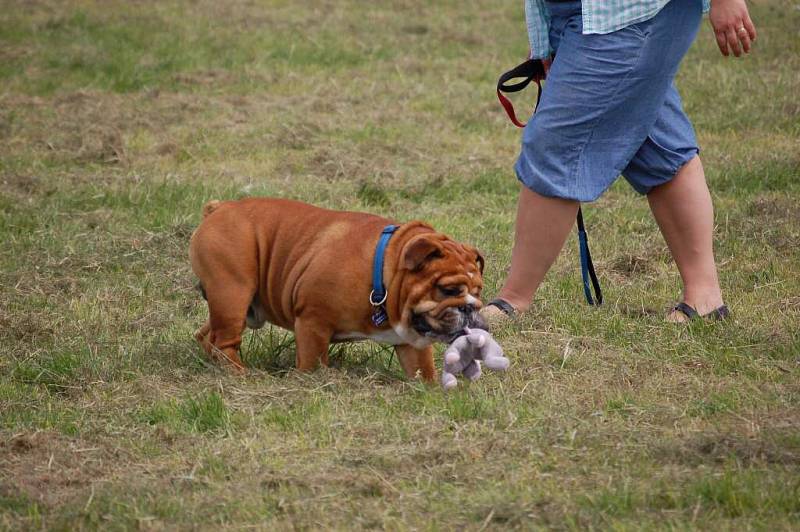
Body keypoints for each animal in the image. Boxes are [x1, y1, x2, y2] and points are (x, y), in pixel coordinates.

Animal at [191, 197, 484, 380]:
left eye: (478, 291)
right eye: (448, 289)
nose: (470, 308)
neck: (383, 275)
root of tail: (219, 208)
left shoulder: (411, 341)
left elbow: (423, 368)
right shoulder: (313, 323)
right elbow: (313, 362)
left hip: (235, 304)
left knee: (207, 336)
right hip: (232, 292)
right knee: (224, 341)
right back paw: (240, 373)